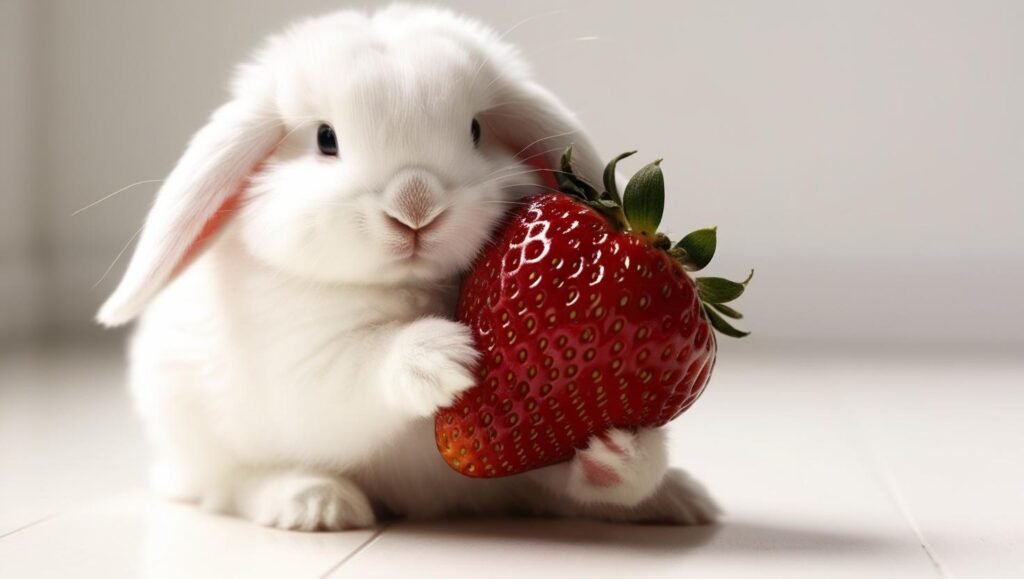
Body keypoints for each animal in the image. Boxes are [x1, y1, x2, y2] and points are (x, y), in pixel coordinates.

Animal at [97, 4, 719, 531]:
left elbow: (584, 469)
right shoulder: (306, 366)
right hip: (193, 426)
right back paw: (315, 502)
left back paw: (681, 499)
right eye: (326, 139)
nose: (415, 207)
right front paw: (442, 357)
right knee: (233, 484)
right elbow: (359, 369)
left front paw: (623, 450)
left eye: (475, 130)